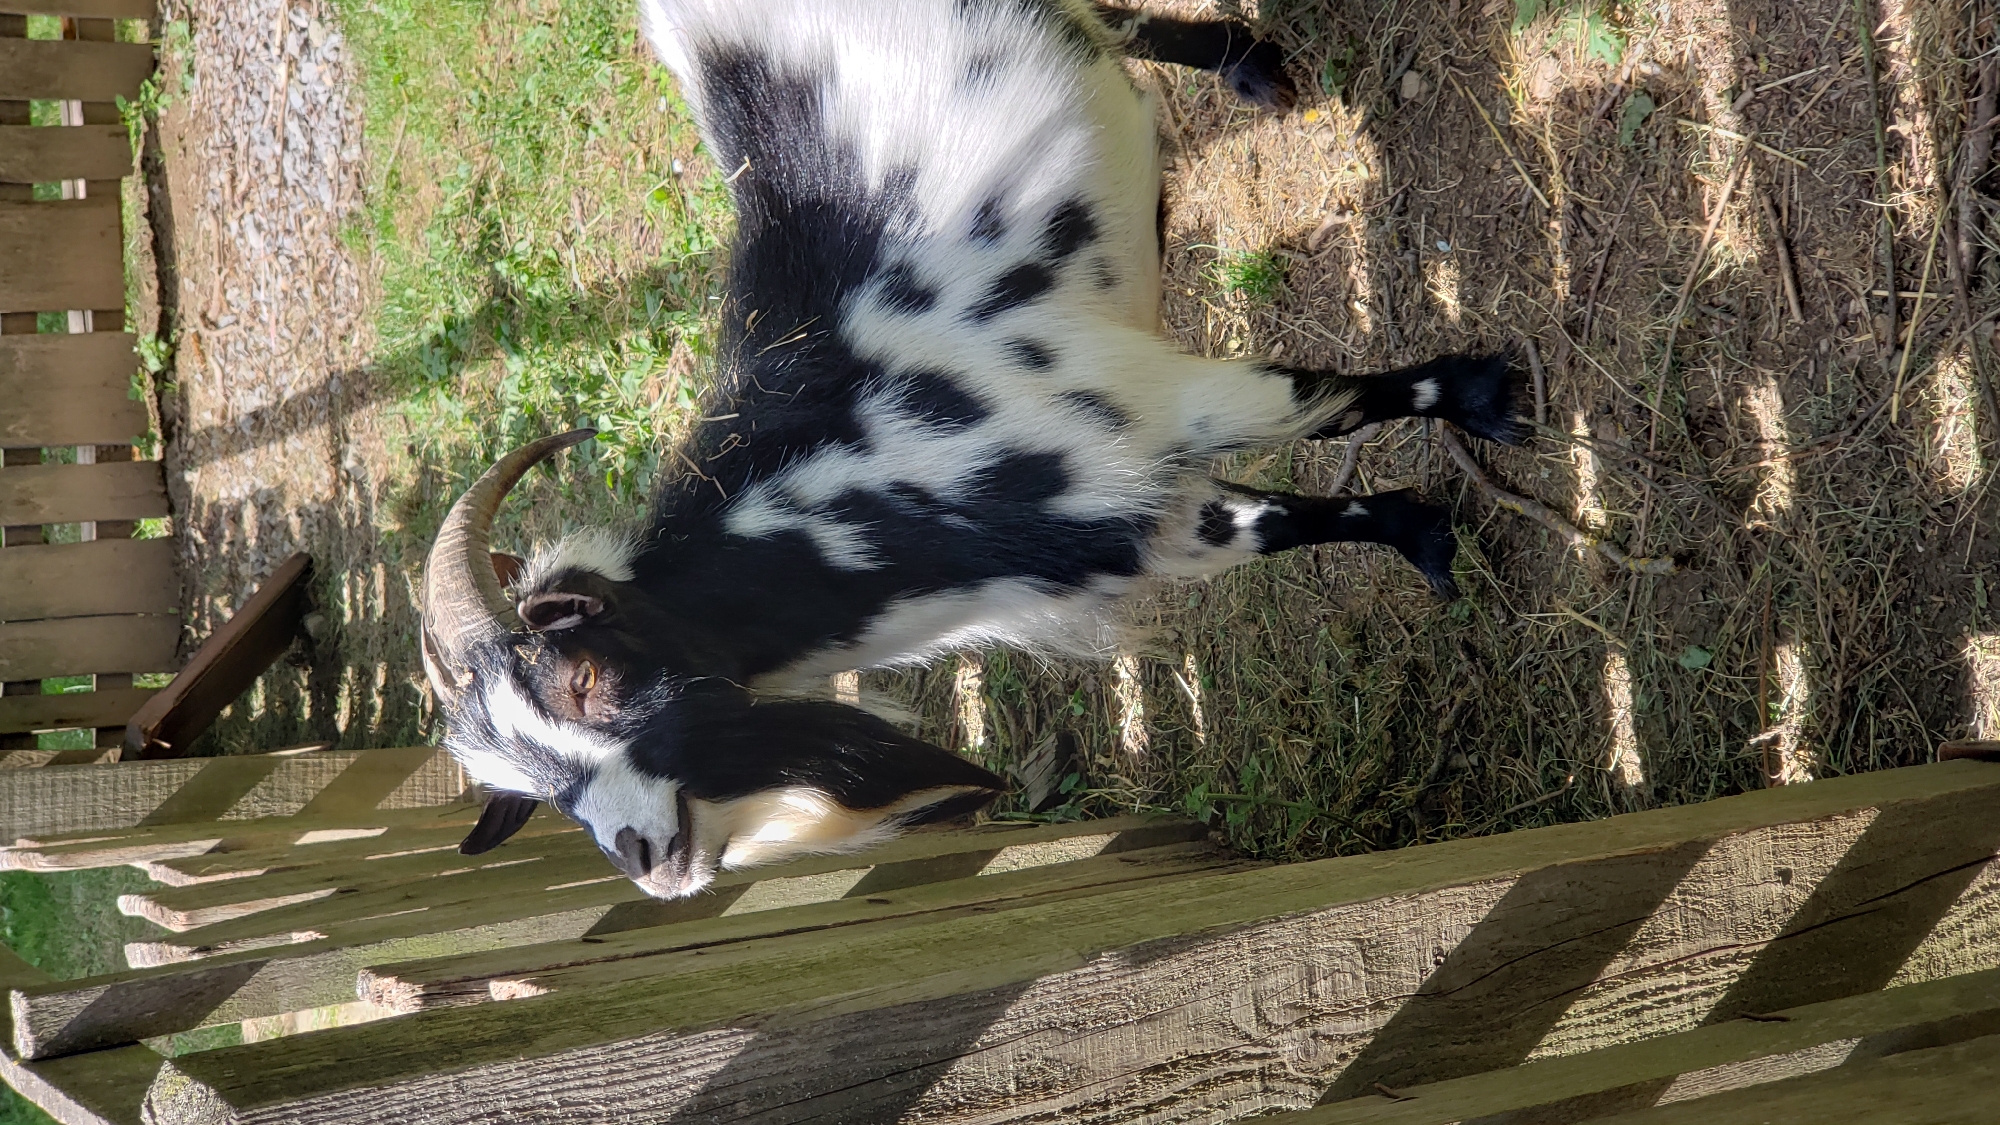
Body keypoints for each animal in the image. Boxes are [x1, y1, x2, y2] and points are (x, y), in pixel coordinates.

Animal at [420, 0, 1521, 899]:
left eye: (584, 676)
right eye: (535, 797)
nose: (643, 859)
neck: (840, 484)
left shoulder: (1161, 405)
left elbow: (1340, 403)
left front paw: (1480, 396)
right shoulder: (1134, 518)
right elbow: (1285, 518)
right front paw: (1421, 533)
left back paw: (1248, 68)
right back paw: (1243, 69)